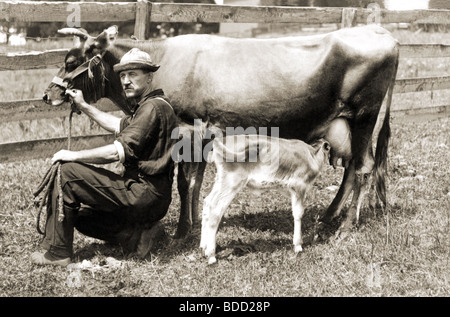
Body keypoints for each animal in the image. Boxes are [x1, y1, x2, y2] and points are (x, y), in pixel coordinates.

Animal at [200, 133, 330, 264]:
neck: (312, 155)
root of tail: (219, 141)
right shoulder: (299, 186)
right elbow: (298, 214)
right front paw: (298, 246)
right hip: (232, 183)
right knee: (215, 211)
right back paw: (211, 255)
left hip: (221, 181)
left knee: (207, 202)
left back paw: (203, 246)